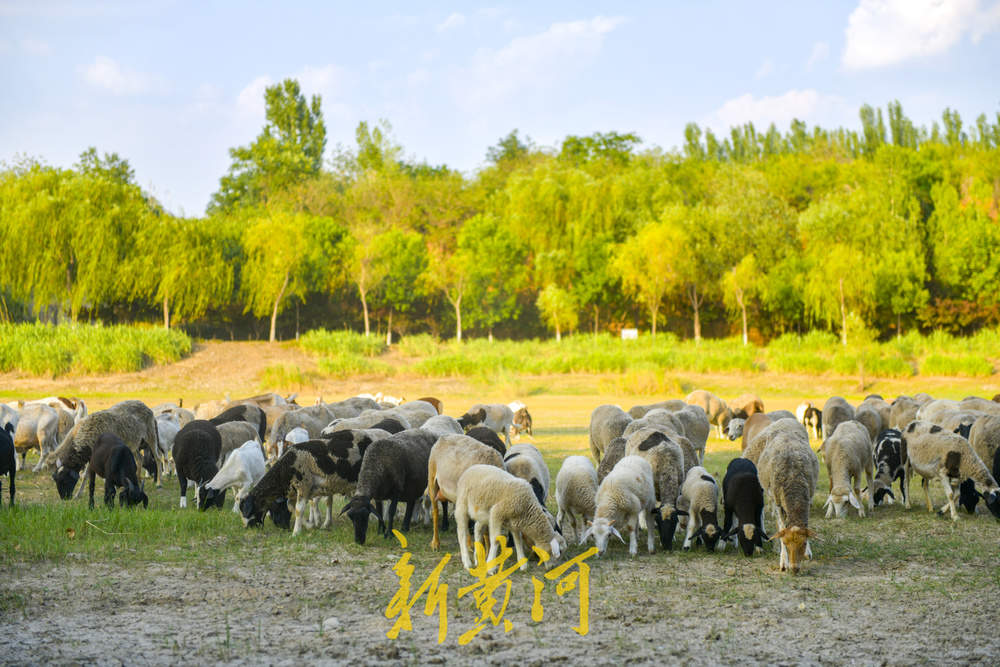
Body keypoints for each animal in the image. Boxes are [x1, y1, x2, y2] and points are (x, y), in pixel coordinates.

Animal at [756, 426, 820, 572]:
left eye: (804, 543)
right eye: (785, 543)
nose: (794, 569)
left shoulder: (809, 498)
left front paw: (808, 552)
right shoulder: (777, 503)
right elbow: (781, 528)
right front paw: (783, 561)